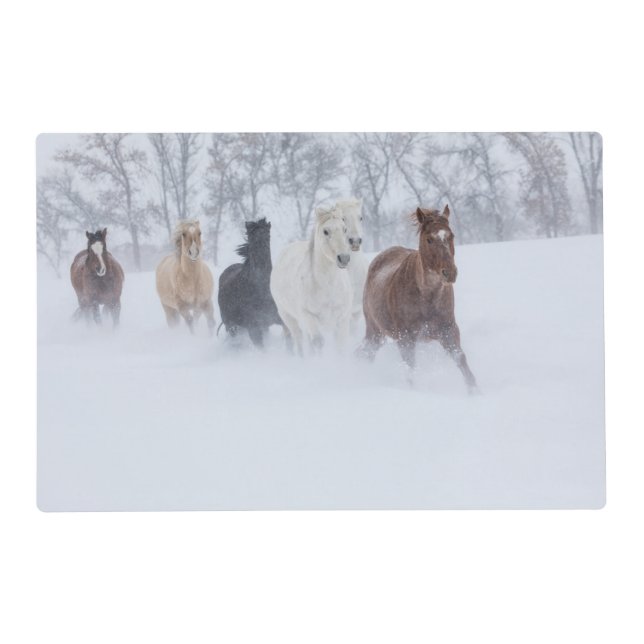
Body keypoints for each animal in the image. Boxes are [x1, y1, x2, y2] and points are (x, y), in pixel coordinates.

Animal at [270, 205, 353, 355]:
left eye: (344, 229)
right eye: (325, 231)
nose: (344, 258)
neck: (327, 286)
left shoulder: (342, 319)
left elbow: (341, 347)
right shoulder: (308, 316)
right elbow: (318, 343)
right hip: (288, 317)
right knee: (299, 340)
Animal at [360, 205, 478, 393]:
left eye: (451, 236)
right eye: (429, 239)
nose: (449, 273)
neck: (427, 298)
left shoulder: (449, 330)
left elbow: (461, 360)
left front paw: (475, 391)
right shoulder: (406, 338)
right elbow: (410, 370)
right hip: (375, 330)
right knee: (365, 352)